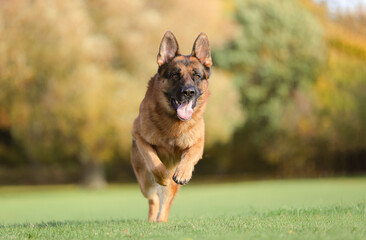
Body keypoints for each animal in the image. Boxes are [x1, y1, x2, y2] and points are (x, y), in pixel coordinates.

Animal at [132, 31, 212, 222]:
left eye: (197, 76)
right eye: (175, 75)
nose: (188, 92)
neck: (174, 124)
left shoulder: (198, 144)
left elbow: (190, 155)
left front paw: (183, 173)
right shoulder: (138, 135)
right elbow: (153, 160)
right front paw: (163, 177)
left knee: (165, 202)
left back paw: (161, 220)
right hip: (145, 182)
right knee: (154, 198)